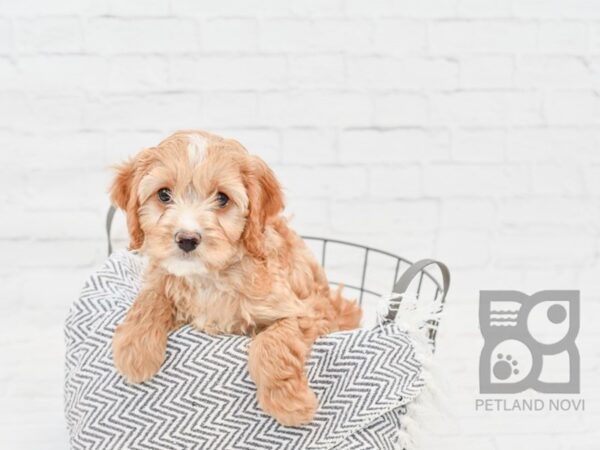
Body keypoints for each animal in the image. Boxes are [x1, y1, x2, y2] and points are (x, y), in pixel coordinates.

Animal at [110, 130, 364, 426]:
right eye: (163, 194)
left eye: (222, 199)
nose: (187, 239)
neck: (209, 277)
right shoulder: (164, 278)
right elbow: (152, 295)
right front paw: (134, 349)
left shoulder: (309, 311)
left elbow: (270, 342)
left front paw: (289, 402)